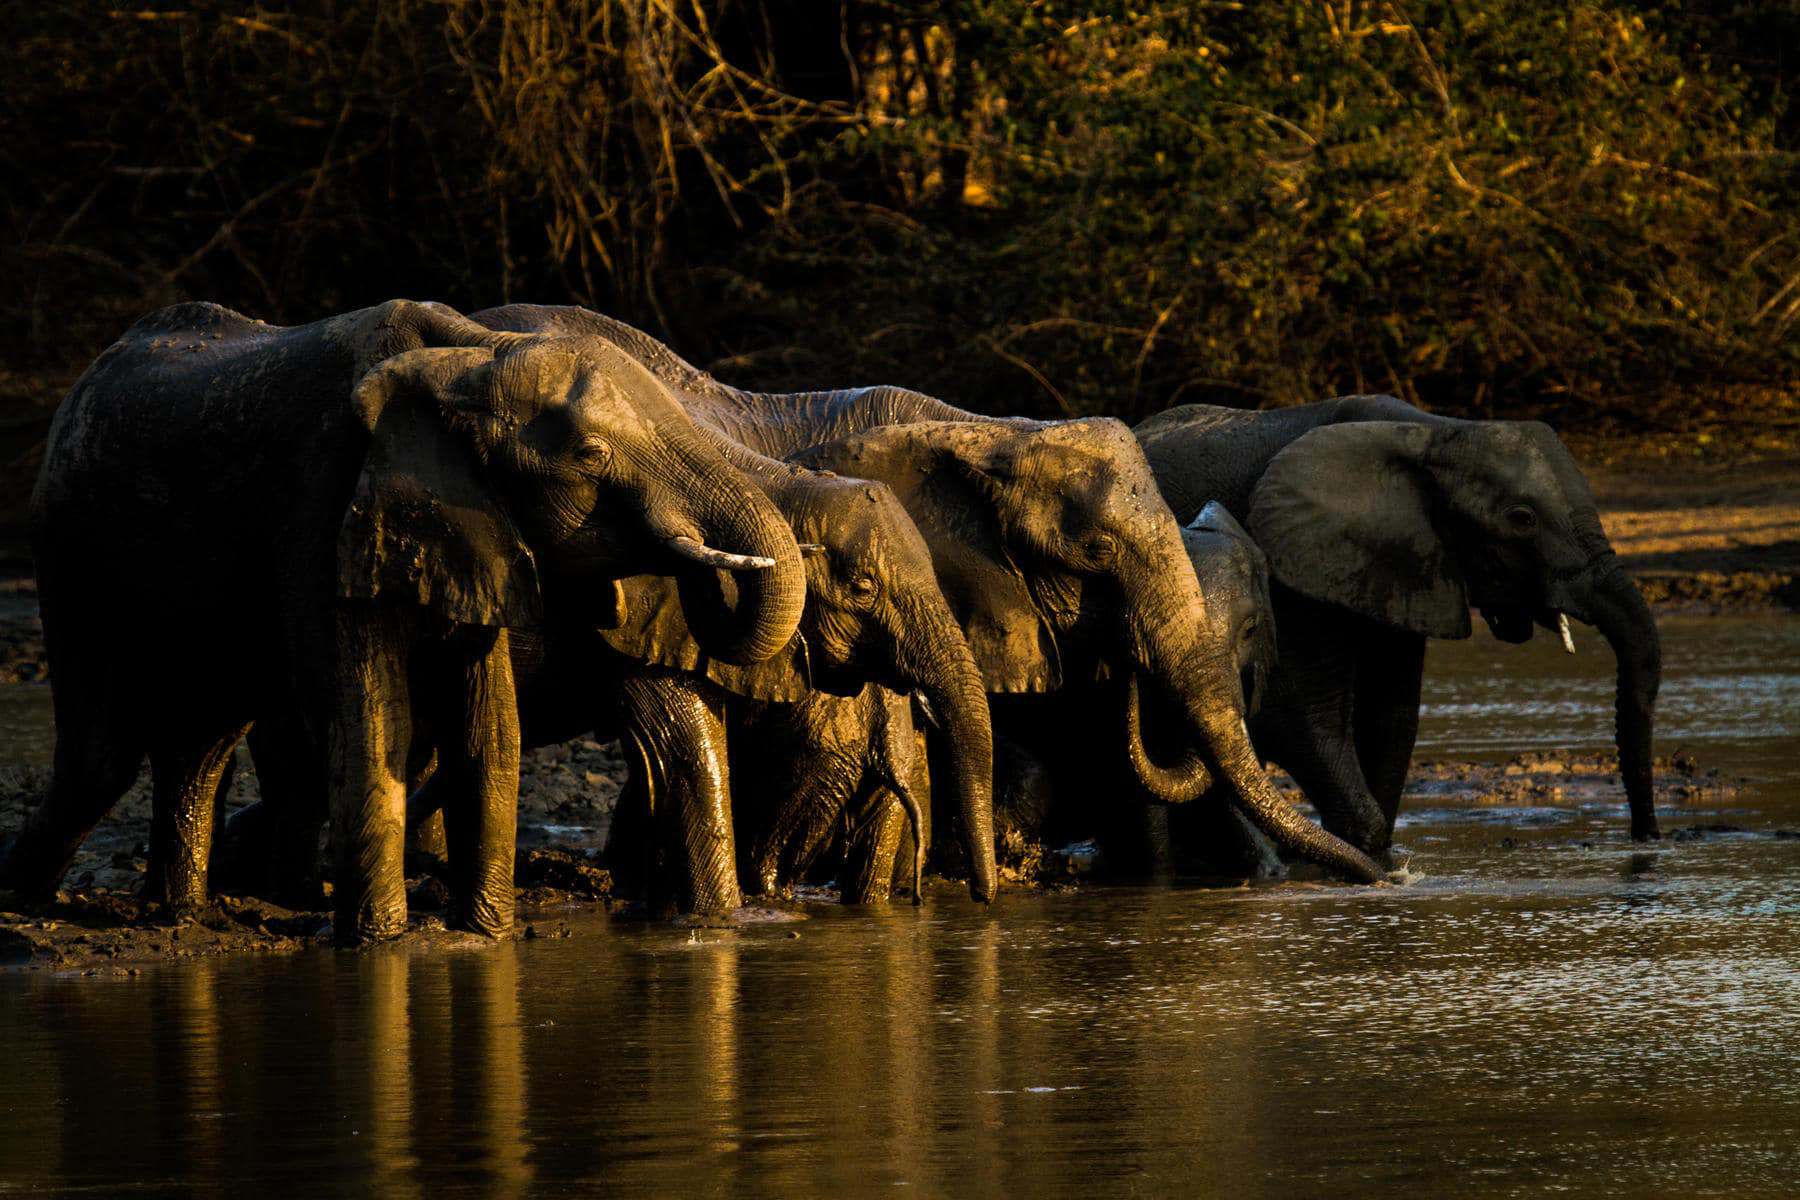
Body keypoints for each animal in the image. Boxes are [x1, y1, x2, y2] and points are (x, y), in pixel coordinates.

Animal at [0, 300, 806, 943]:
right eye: (590, 454)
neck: (467, 359)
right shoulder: (322, 504)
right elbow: (367, 716)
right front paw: (381, 944)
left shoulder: (477, 526)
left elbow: (490, 728)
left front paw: (483, 937)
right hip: (66, 549)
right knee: (103, 755)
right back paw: (27, 904)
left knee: (199, 742)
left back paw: (179, 916)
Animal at [1133, 393, 1661, 862]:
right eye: (1522, 519)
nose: (1645, 838)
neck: (1435, 432)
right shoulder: (1292, 562)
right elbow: (1296, 712)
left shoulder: (1403, 559)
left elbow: (1393, 712)